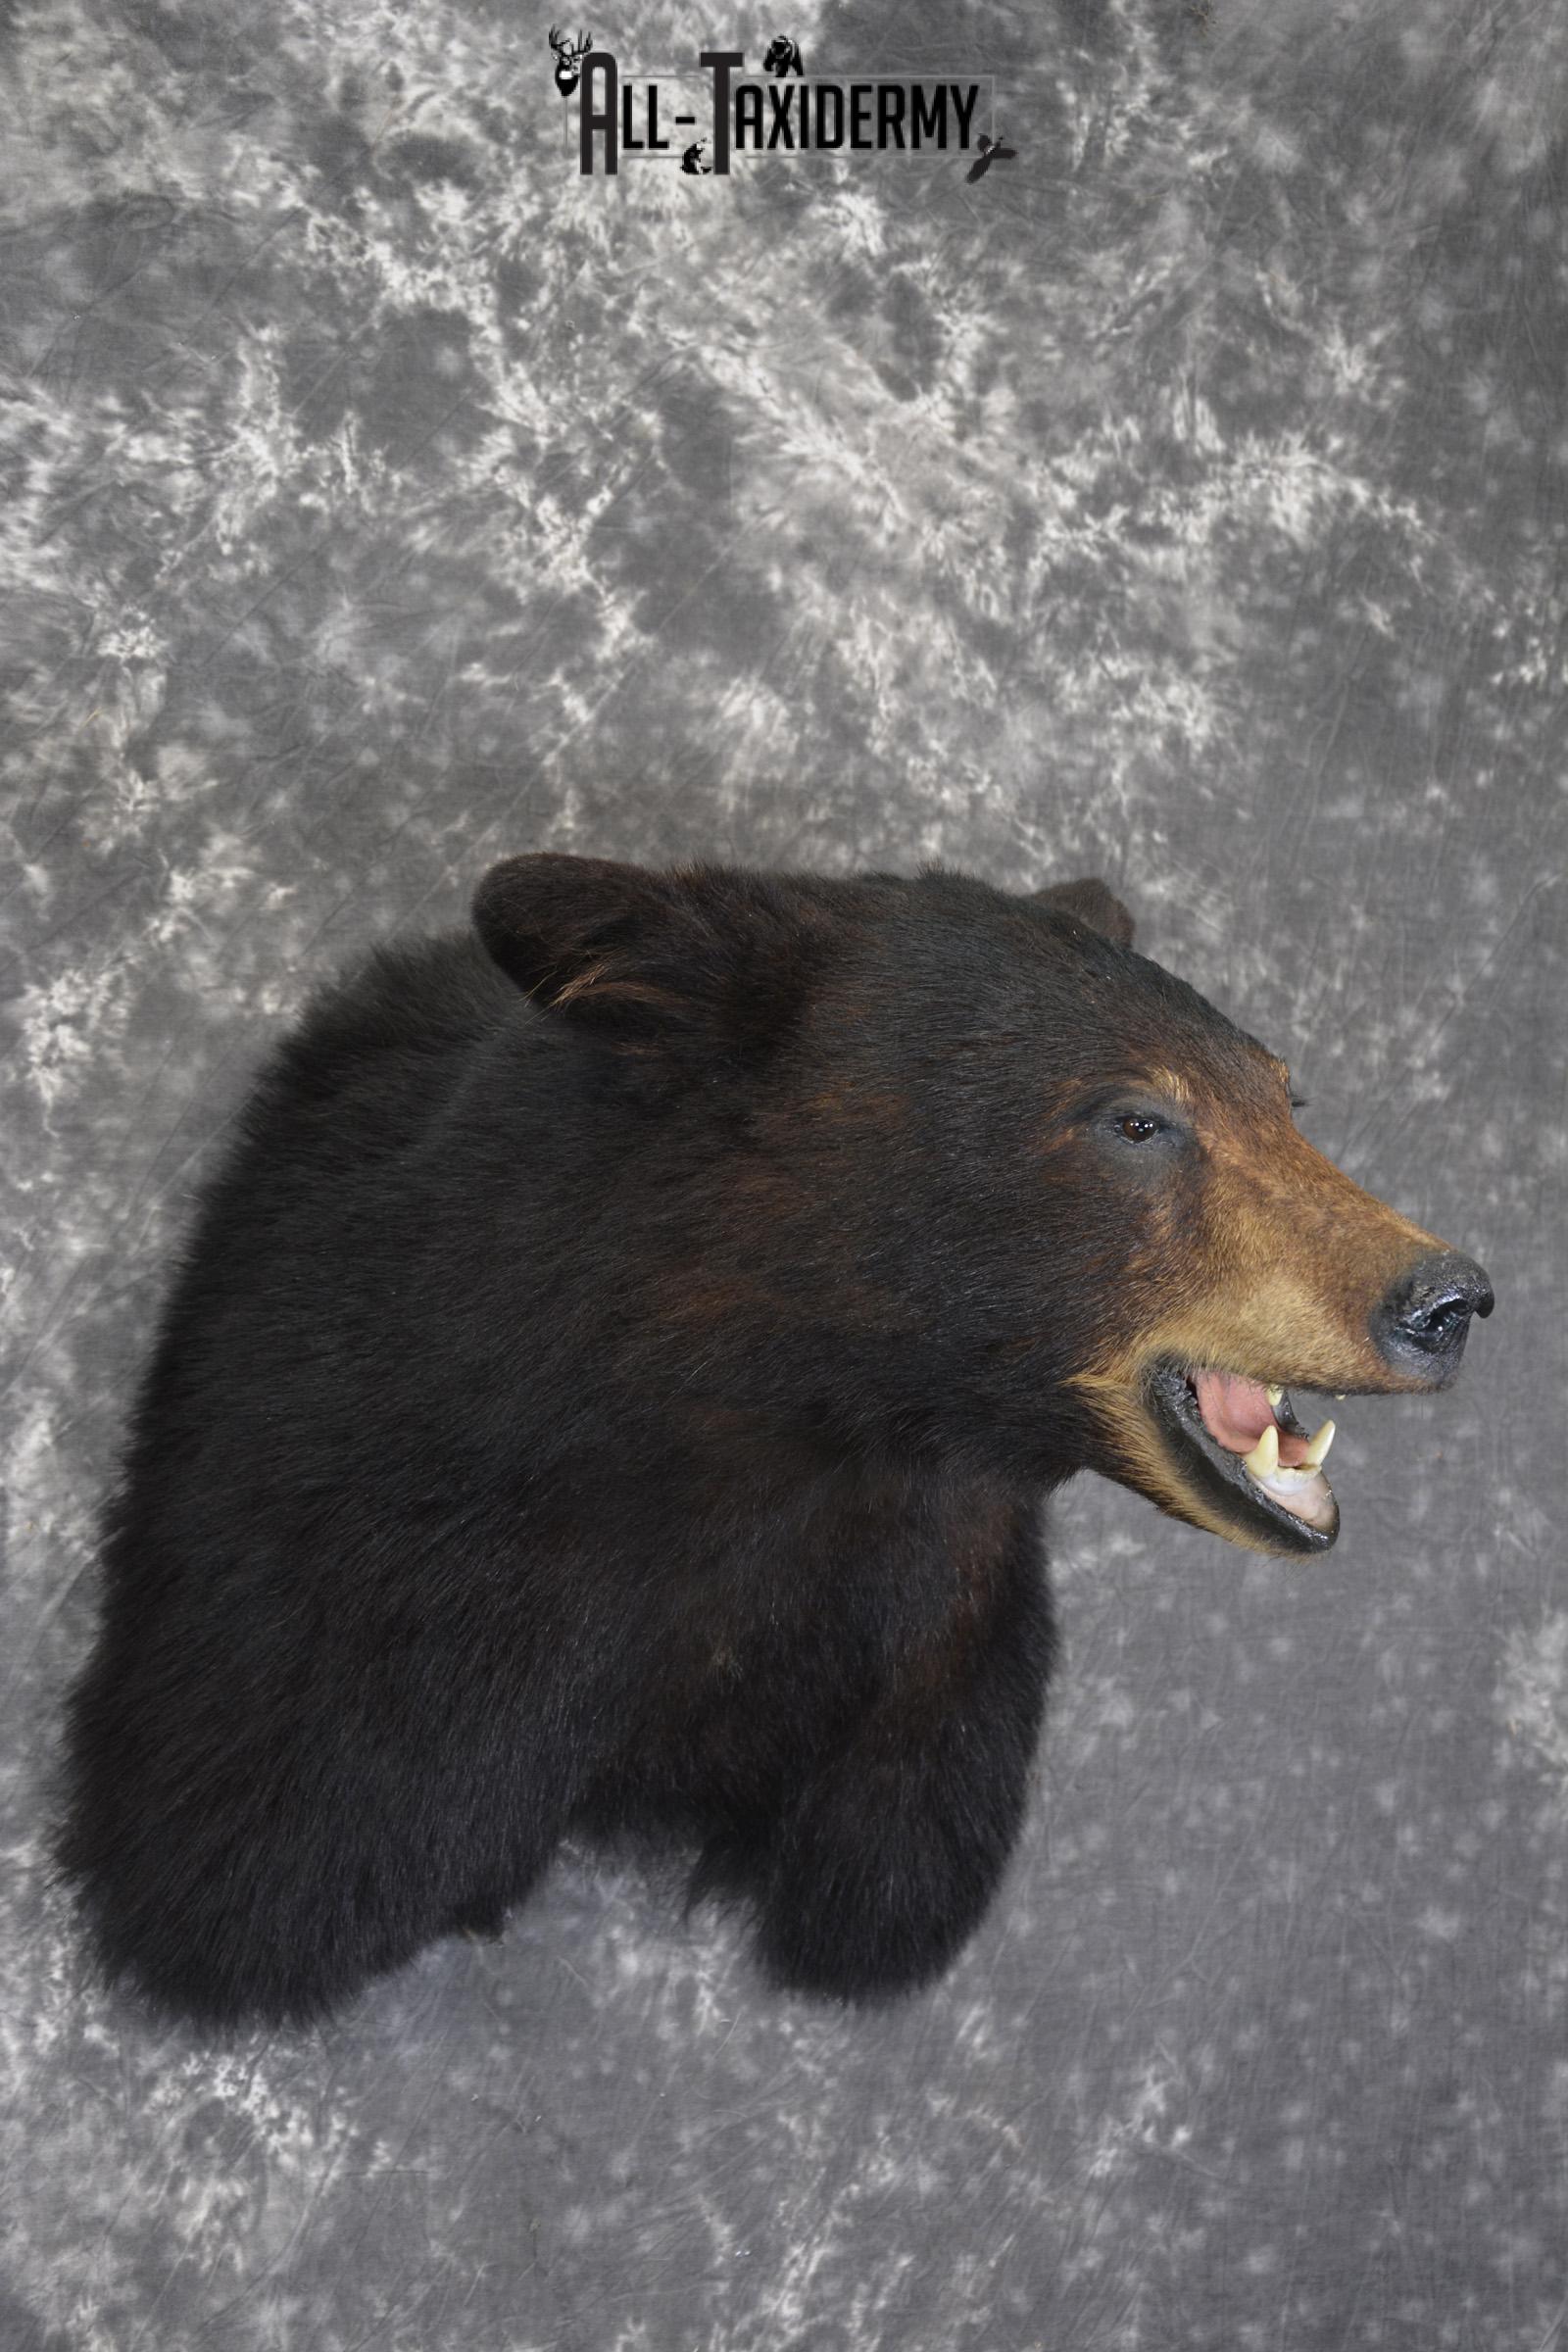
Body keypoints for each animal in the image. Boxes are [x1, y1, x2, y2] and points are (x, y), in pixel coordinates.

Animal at [57, 856, 1493, 2027]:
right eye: (1135, 1118)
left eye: (1286, 1097)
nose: (1446, 1299)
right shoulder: (359, 1602)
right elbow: (287, 1847)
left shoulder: (929, 1672)